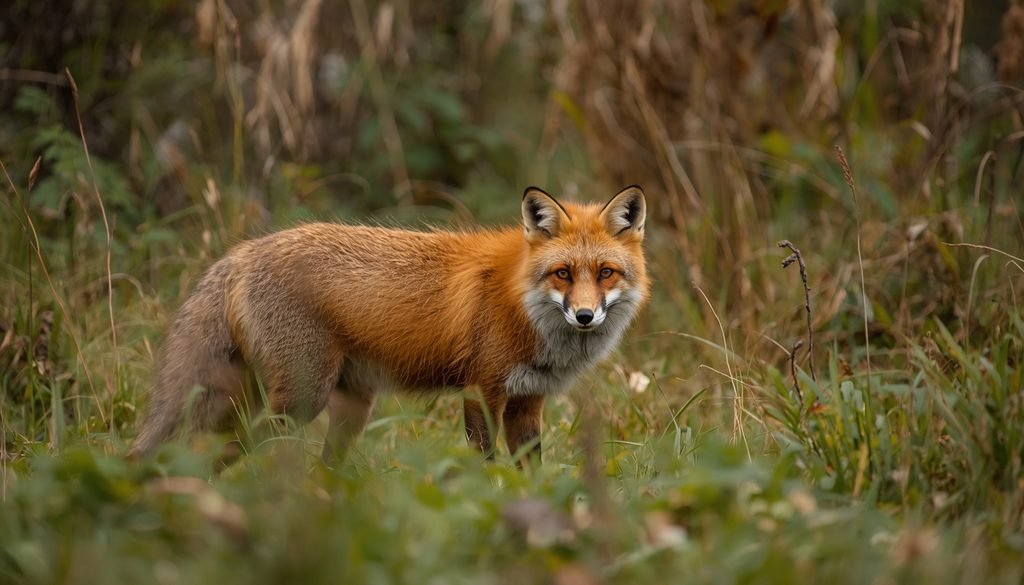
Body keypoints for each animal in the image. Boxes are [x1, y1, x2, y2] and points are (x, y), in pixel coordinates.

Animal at [130, 185, 649, 464]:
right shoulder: (481, 390)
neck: (521, 301)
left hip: (345, 407)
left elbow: (531, 474)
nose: (585, 316)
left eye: (605, 273)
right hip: (298, 399)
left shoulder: (527, 401)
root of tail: (243, 251)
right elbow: (486, 467)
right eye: (563, 273)